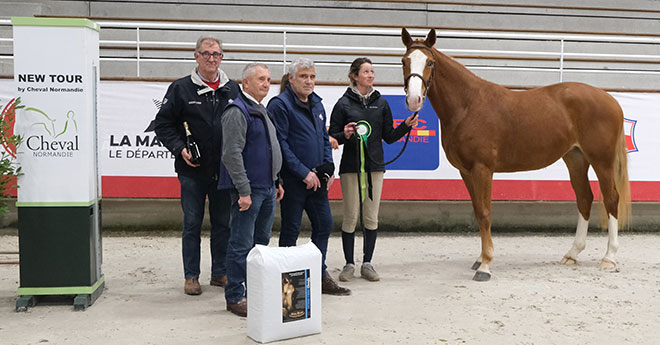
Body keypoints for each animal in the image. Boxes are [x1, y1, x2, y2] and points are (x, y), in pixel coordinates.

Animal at [400, 28, 632, 280]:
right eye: (404, 61)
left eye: (430, 62)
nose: (414, 100)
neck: (468, 106)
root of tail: (611, 100)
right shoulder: (466, 172)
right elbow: (477, 210)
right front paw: (480, 259)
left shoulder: (482, 169)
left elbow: (484, 212)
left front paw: (485, 266)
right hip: (575, 159)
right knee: (584, 198)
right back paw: (572, 254)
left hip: (602, 161)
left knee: (611, 198)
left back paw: (609, 258)